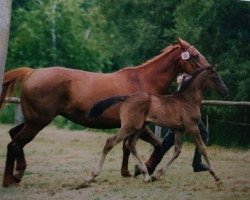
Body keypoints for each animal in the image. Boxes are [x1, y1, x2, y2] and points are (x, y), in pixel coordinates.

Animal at [0, 37, 211, 188]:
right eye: (194, 55)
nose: (210, 71)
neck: (142, 80)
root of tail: (32, 73)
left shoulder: (132, 126)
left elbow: (128, 147)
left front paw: (128, 171)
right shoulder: (139, 125)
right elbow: (155, 144)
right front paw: (143, 170)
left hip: (34, 120)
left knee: (14, 135)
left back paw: (18, 173)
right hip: (38, 121)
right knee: (14, 144)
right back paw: (9, 180)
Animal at [86, 67, 229, 183]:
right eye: (216, 77)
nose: (225, 91)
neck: (188, 100)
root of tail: (126, 97)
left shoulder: (179, 130)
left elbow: (177, 151)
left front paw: (157, 175)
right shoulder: (192, 127)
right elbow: (202, 147)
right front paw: (216, 175)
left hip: (139, 127)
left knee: (131, 144)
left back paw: (146, 176)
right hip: (130, 126)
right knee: (110, 142)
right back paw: (92, 175)